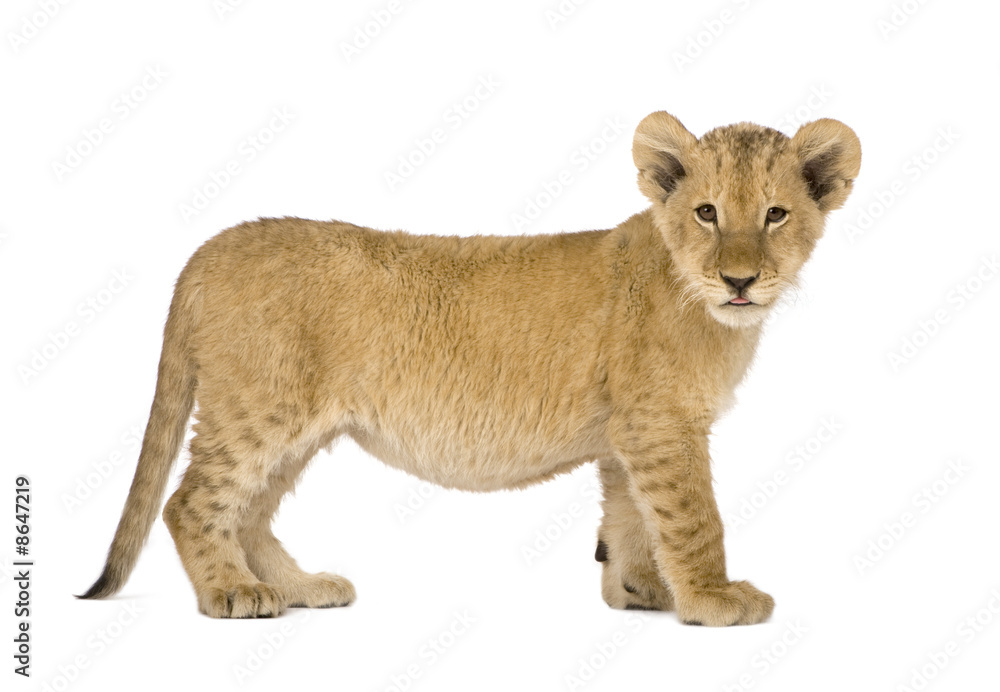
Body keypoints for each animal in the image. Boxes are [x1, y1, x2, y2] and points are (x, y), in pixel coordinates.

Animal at [79, 111, 860, 625]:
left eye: (775, 215)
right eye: (706, 213)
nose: (739, 280)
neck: (699, 300)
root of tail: (211, 246)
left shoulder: (626, 433)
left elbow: (633, 515)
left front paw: (643, 593)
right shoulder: (661, 424)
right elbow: (695, 516)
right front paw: (713, 599)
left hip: (295, 427)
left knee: (247, 513)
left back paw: (298, 587)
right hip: (258, 407)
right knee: (192, 502)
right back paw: (231, 594)